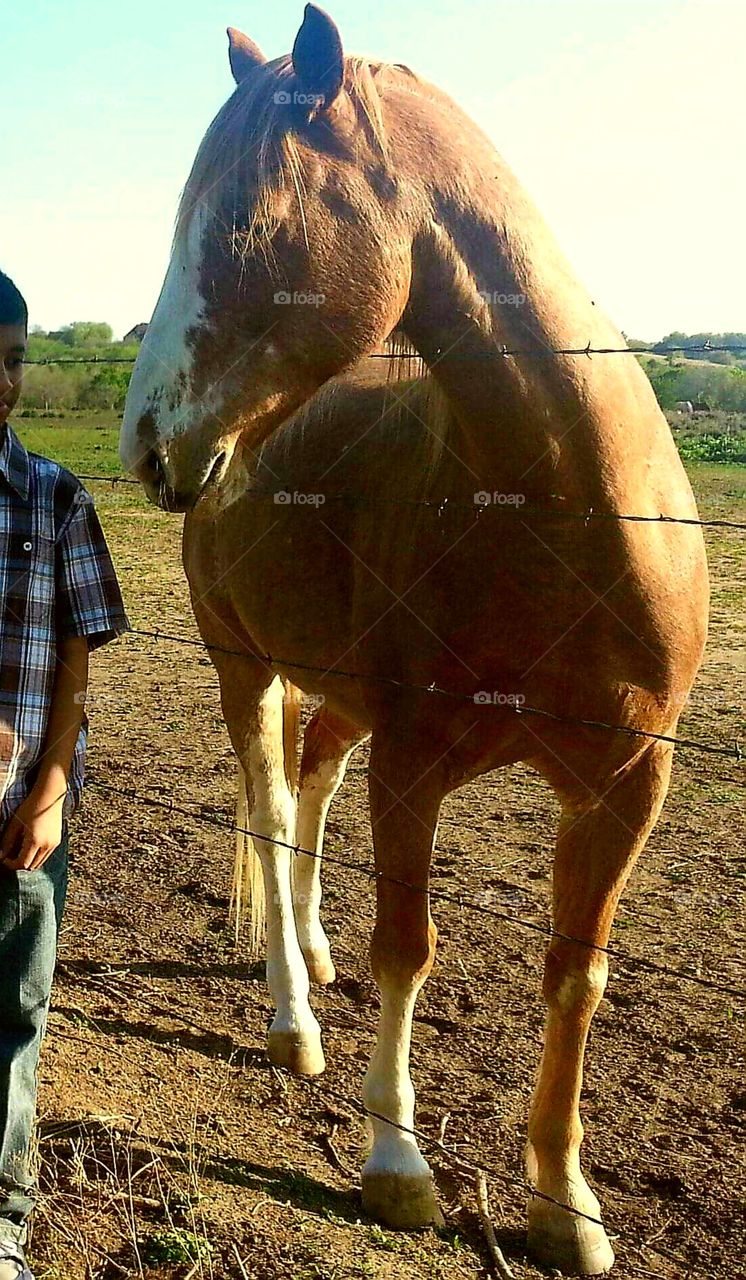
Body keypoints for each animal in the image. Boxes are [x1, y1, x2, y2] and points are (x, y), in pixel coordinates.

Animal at [120, 8, 709, 1273]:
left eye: (240, 223)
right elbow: (409, 944)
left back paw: (310, 952)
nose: (147, 441)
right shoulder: (414, 761)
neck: (560, 508)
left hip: (337, 695)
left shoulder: (625, 786)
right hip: (244, 669)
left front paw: (564, 1203)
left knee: (310, 783)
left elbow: (575, 974)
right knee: (271, 808)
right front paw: (398, 1165)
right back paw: (292, 1015)